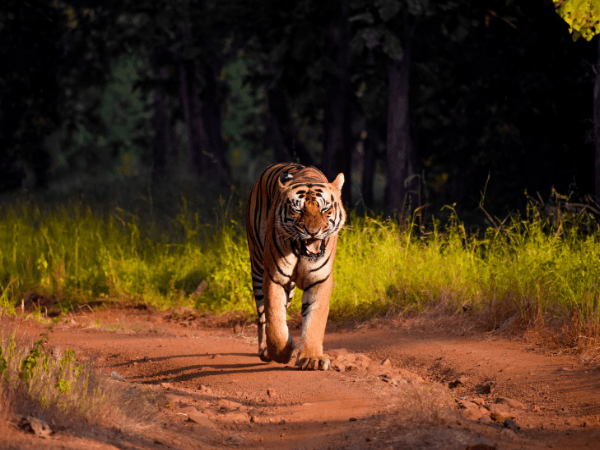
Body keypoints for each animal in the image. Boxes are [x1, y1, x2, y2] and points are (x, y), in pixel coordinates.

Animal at [245, 163, 346, 370]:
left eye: (325, 209)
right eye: (297, 211)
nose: (313, 232)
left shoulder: (319, 280)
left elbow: (314, 320)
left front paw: (312, 358)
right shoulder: (275, 277)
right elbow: (275, 320)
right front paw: (282, 353)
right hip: (257, 266)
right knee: (263, 315)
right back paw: (265, 350)